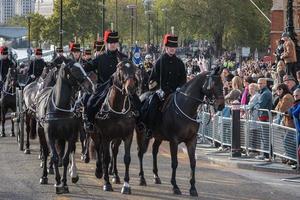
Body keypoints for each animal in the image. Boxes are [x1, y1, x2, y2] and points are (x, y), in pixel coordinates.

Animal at [29, 62, 94, 194]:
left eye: (83, 67)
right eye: (74, 70)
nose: (91, 86)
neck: (59, 107)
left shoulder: (71, 134)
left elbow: (65, 158)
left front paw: (64, 182)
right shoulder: (49, 134)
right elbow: (53, 156)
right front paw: (57, 182)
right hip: (41, 132)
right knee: (46, 151)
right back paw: (44, 175)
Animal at [92, 60, 139, 194]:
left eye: (134, 68)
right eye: (120, 69)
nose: (131, 87)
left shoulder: (128, 135)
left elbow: (127, 158)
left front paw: (126, 185)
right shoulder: (106, 136)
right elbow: (106, 157)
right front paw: (106, 183)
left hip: (116, 137)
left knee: (114, 150)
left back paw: (115, 175)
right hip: (95, 134)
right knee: (98, 149)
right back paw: (99, 171)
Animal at [137, 67, 225, 197]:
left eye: (222, 84)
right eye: (213, 84)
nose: (221, 105)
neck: (186, 107)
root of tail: (141, 96)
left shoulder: (191, 140)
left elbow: (193, 162)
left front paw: (193, 188)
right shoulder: (174, 141)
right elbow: (174, 162)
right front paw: (175, 186)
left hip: (159, 136)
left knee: (154, 150)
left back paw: (156, 176)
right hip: (142, 134)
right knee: (141, 153)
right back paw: (142, 178)